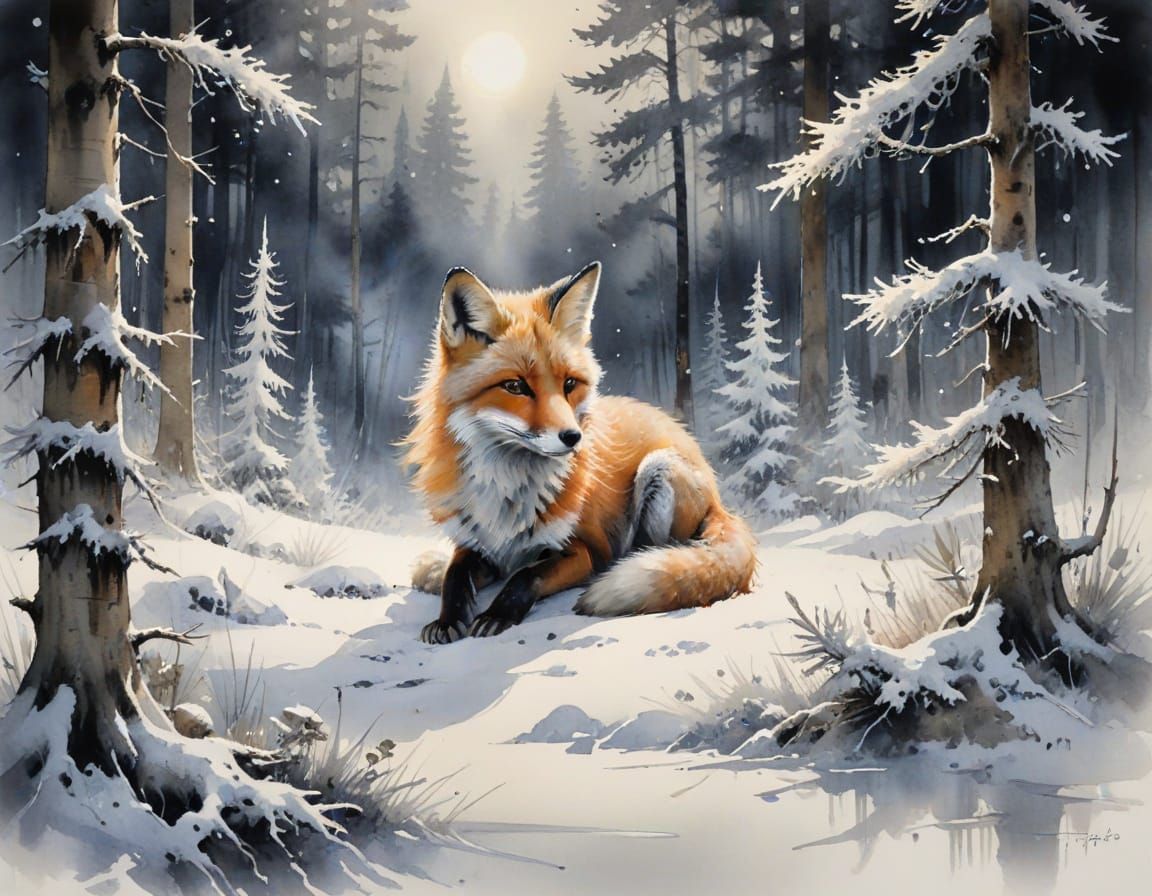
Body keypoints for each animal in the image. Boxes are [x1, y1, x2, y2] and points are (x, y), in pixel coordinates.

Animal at [404, 261, 757, 644]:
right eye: (515, 386)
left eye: (569, 384)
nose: (573, 437)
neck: (508, 493)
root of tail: (718, 497)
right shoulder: (481, 545)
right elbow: (455, 575)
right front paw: (447, 618)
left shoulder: (583, 552)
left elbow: (526, 575)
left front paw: (497, 614)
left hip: (659, 470)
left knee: (664, 549)